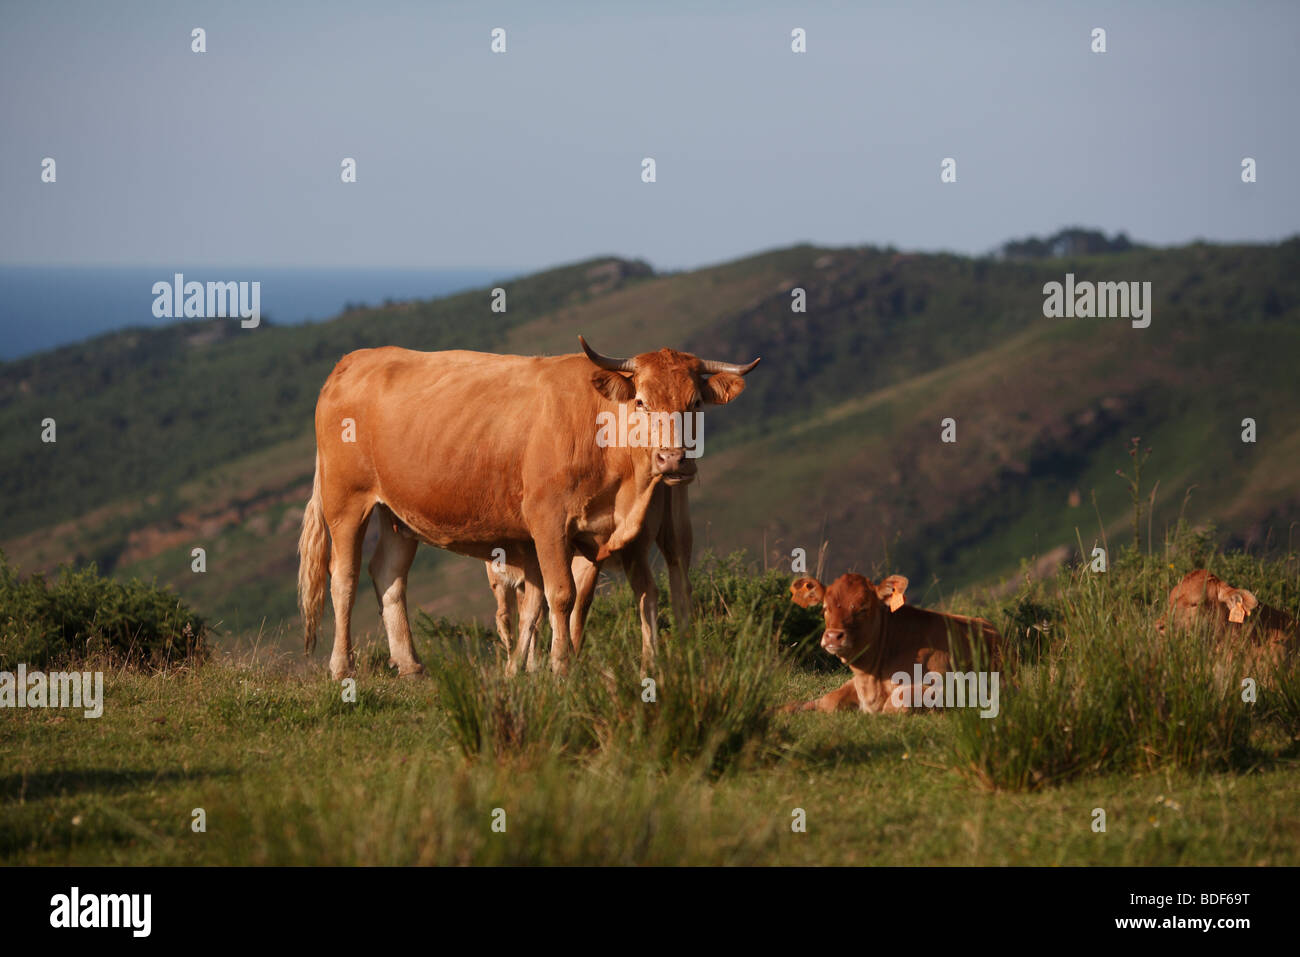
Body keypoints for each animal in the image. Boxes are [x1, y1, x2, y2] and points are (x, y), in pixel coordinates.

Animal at [297, 335, 759, 681]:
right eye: (641, 401)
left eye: (695, 403)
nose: (674, 459)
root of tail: (354, 360)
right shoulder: (548, 521)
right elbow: (560, 595)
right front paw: (561, 667)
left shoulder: (632, 534)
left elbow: (645, 594)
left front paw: (656, 665)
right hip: (346, 500)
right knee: (344, 577)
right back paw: (341, 667)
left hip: (398, 513)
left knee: (389, 573)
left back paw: (410, 665)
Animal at [780, 572, 1003, 712]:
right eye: (825, 608)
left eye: (863, 608)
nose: (833, 636)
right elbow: (828, 701)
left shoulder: (945, 685)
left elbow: (896, 704)